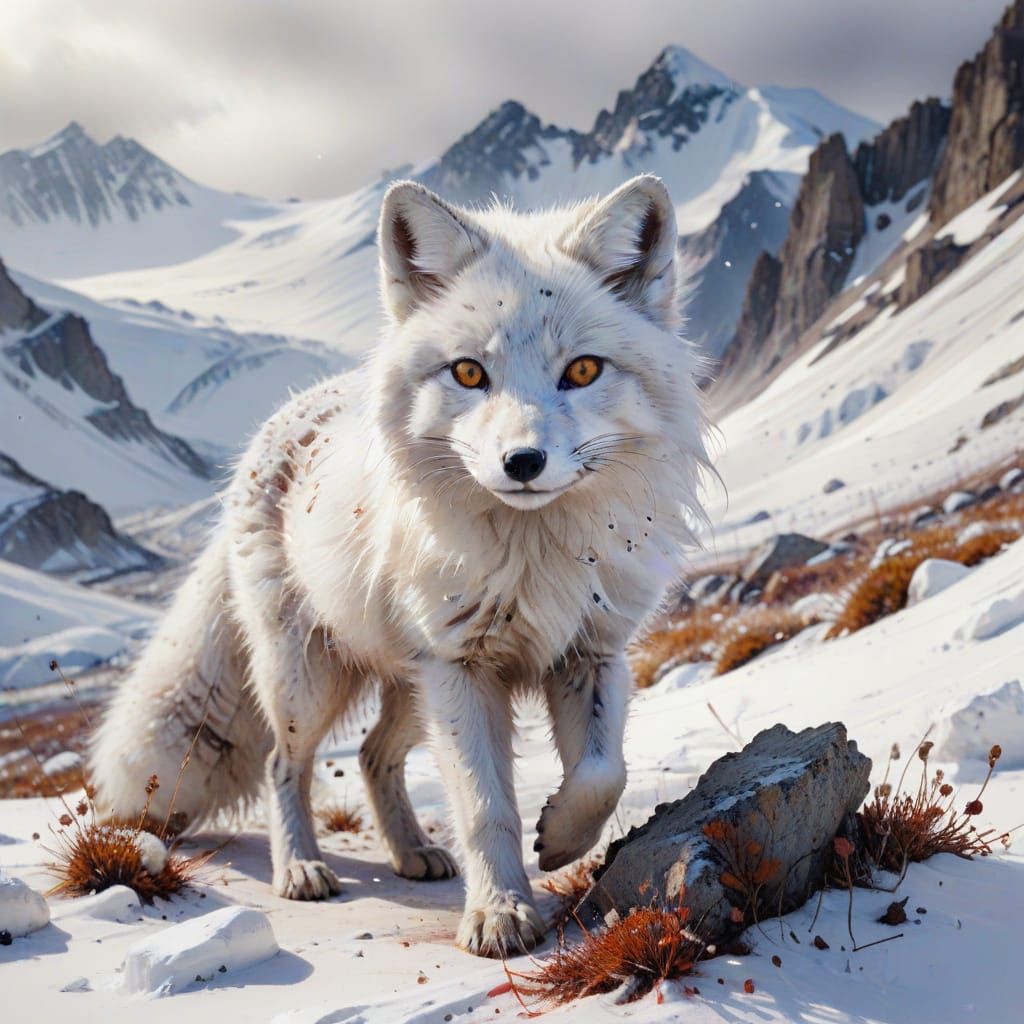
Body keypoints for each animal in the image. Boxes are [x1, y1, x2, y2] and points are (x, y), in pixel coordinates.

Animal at [89, 173, 708, 957]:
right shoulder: (462, 667)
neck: (534, 558)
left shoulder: (590, 653)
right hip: (311, 681)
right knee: (283, 764)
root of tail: (282, 417)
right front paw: (501, 914)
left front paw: (563, 839)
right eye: (469, 373)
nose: (523, 462)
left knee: (372, 755)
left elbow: (604, 772)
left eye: (583, 370)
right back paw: (300, 869)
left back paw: (413, 852)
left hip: (413, 690)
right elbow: (485, 807)